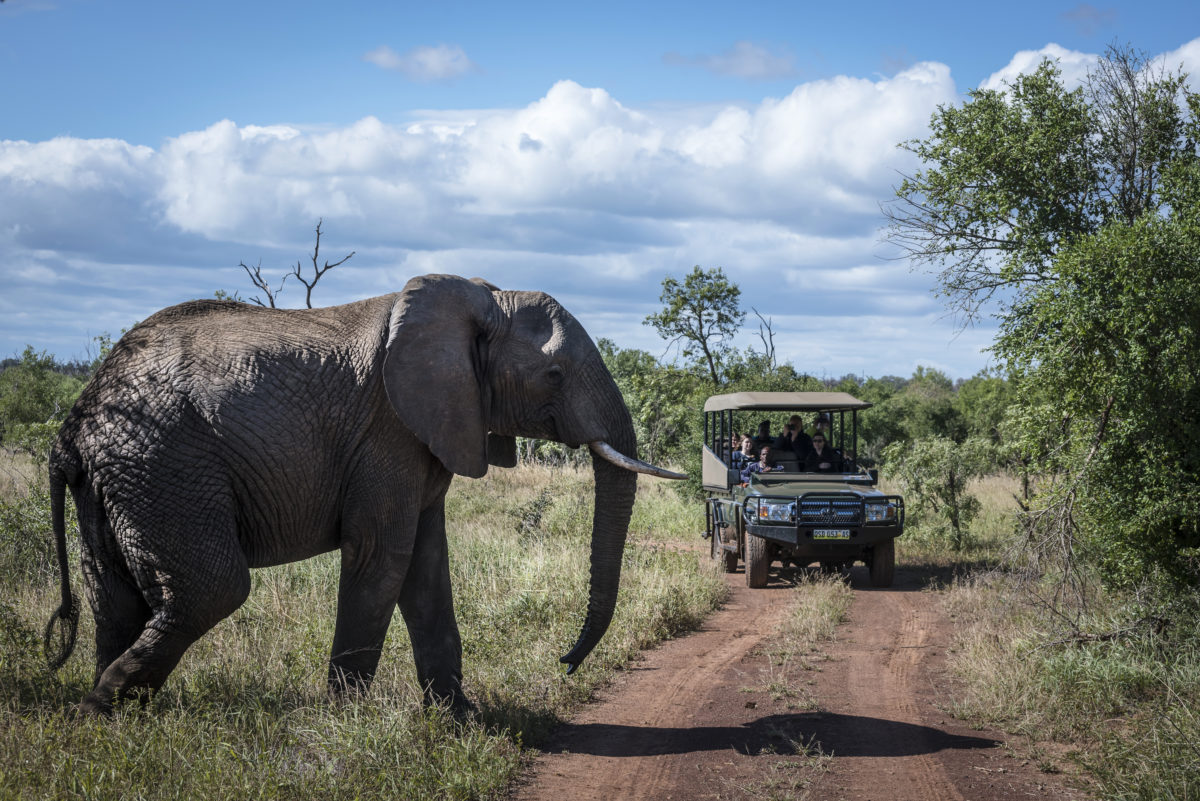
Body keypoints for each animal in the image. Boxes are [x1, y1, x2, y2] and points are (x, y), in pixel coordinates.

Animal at [44, 273, 686, 714]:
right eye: (553, 376)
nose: (564, 664)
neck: (476, 301)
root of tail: (73, 424)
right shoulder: (388, 431)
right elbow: (384, 558)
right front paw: (344, 720)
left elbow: (426, 566)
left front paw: (462, 721)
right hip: (163, 466)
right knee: (212, 589)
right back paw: (96, 708)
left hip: (119, 480)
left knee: (114, 595)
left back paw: (117, 716)